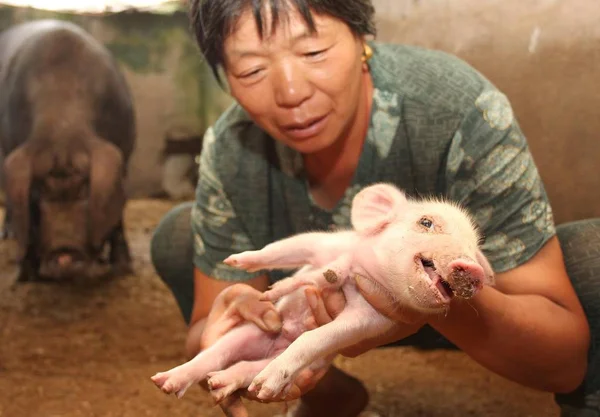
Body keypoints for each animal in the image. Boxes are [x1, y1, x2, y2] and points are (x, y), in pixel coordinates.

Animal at [0, 18, 136, 280]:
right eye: (37, 193)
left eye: (85, 190)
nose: (64, 254)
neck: (62, 124)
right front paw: (27, 275)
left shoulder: (123, 155)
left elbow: (117, 214)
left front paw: (123, 269)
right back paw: (8, 236)